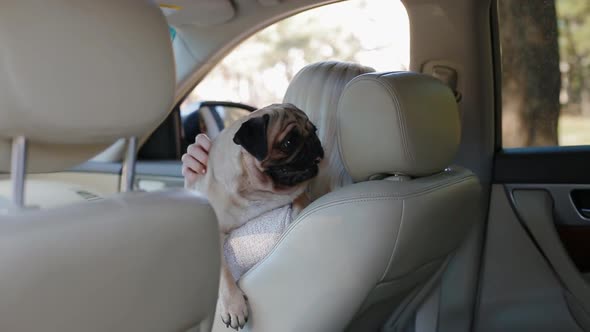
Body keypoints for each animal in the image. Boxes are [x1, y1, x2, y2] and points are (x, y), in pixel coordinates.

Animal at [188, 103, 324, 330]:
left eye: (314, 130)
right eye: (288, 142)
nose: (314, 141)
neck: (259, 191)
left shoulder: (295, 191)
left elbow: (300, 197)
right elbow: (223, 272)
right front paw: (234, 307)